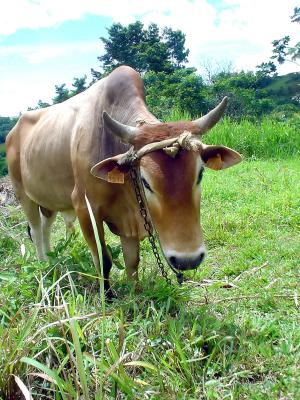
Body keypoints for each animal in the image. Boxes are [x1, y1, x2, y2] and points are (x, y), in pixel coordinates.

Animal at [5, 65, 241, 296]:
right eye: (145, 182)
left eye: (199, 174)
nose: (188, 259)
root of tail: (13, 132)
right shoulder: (85, 208)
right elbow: (103, 260)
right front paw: (108, 296)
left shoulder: (129, 218)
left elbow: (132, 260)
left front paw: (135, 291)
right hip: (22, 194)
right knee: (36, 230)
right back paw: (43, 267)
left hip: (48, 202)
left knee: (45, 227)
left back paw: (51, 261)